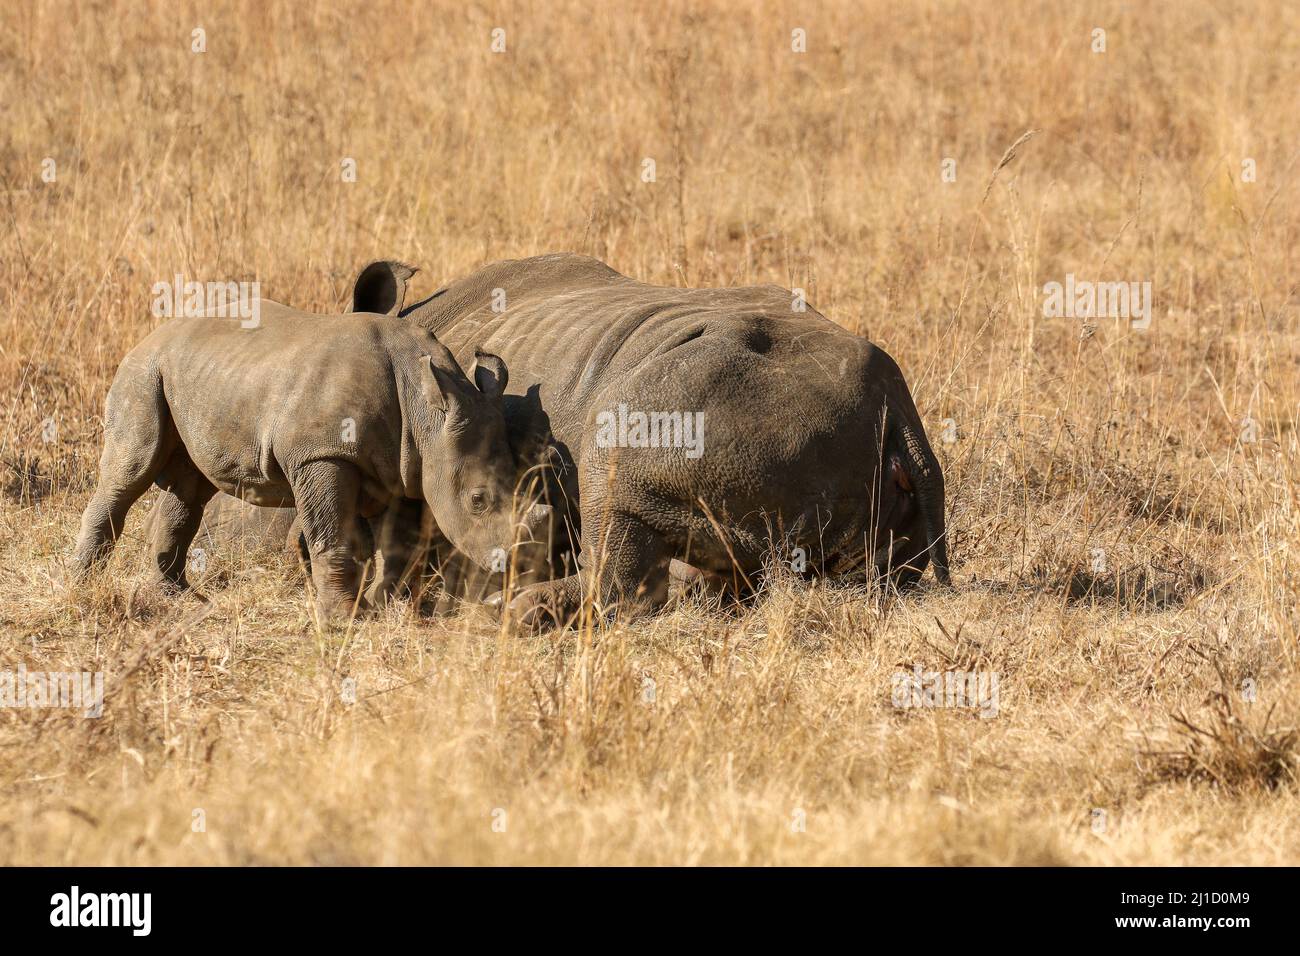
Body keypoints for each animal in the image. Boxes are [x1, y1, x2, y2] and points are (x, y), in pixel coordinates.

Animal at [71, 306, 551, 619]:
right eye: (477, 501)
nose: (520, 567)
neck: (426, 411)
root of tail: (148, 336)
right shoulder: (321, 454)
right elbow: (331, 532)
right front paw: (343, 619)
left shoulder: (405, 467)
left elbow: (396, 544)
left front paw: (386, 608)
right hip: (142, 373)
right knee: (130, 473)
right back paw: (80, 586)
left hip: (195, 376)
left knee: (189, 491)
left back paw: (178, 599)